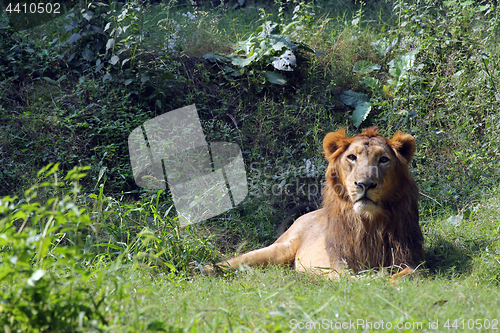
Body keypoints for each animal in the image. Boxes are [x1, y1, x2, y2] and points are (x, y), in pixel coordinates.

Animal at [205, 127, 424, 278]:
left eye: (383, 159)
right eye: (352, 157)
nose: (365, 184)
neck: (370, 221)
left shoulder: (410, 259)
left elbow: (407, 276)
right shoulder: (339, 263)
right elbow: (352, 279)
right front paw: (373, 279)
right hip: (279, 249)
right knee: (234, 261)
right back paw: (204, 268)